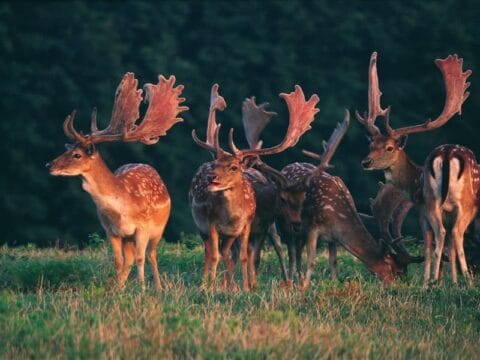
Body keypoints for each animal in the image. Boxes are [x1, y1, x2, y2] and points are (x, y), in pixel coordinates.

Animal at [46, 73, 187, 290]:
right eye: (67, 150)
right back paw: (120, 286)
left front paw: (142, 289)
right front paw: (116, 290)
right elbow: (119, 261)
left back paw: (159, 287)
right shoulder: (110, 230)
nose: (49, 165)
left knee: (152, 255)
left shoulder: (142, 228)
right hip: (127, 238)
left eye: (77, 154)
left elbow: (141, 259)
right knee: (129, 259)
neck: (122, 209)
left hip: (159, 228)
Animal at [189, 83, 320, 290]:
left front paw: (246, 287)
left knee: (238, 253)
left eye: (234, 167)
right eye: (216, 164)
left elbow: (246, 256)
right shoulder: (211, 225)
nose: (211, 177)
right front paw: (211, 286)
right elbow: (216, 255)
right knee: (211, 252)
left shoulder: (249, 227)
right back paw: (210, 283)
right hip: (202, 227)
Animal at [356, 51, 472, 286]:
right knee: (452, 235)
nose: (366, 162)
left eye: (390, 147)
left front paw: (433, 280)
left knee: (445, 235)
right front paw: (452, 282)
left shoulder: (423, 209)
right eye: (371, 145)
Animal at [424, 145, 480, 286]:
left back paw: (433, 282)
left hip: (431, 201)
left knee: (441, 234)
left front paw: (454, 284)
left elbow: (451, 248)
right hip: (466, 205)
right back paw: (469, 282)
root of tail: (447, 153)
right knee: (457, 232)